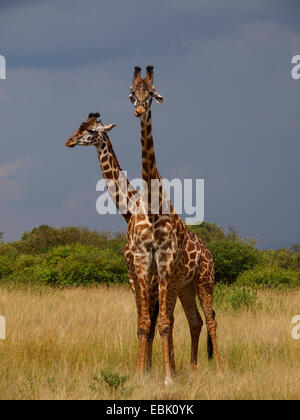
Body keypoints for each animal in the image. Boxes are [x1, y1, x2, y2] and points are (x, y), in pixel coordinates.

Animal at [127, 65, 221, 384]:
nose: (139, 109)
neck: (152, 208)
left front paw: (168, 378)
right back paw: (191, 369)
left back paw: (219, 369)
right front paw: (139, 377)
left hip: (204, 280)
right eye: (132, 92)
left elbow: (165, 324)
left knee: (211, 319)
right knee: (195, 321)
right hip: (185, 286)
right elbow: (145, 323)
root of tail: (208, 252)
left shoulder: (165, 262)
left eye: (153, 93)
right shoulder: (143, 262)